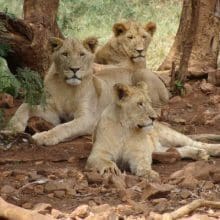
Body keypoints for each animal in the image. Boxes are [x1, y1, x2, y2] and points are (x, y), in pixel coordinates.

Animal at [6, 37, 168, 145]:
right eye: (65, 54)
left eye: (82, 54)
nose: (74, 69)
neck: (67, 88)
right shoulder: (52, 112)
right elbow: (25, 106)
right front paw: (12, 127)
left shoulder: (87, 118)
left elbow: (65, 127)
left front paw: (44, 137)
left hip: (142, 75)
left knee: (158, 107)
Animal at [86, 81, 220, 180]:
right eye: (140, 104)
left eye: (149, 102)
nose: (154, 118)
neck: (126, 129)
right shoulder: (97, 153)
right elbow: (103, 161)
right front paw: (110, 169)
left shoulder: (139, 153)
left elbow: (143, 163)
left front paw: (148, 173)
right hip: (158, 148)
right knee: (178, 150)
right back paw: (199, 154)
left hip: (170, 135)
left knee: (195, 143)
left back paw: (213, 150)